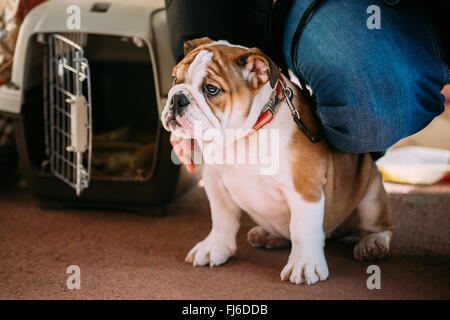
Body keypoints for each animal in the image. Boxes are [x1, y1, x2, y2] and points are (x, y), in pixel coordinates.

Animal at [162, 37, 394, 284]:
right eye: (175, 79)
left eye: (211, 89)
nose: (177, 99)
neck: (245, 134)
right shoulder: (215, 183)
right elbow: (222, 218)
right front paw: (215, 247)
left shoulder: (304, 188)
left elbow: (302, 229)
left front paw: (304, 265)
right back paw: (268, 236)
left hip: (371, 194)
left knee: (380, 225)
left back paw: (373, 243)